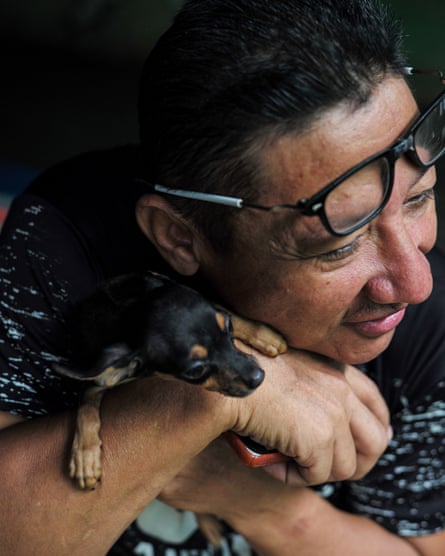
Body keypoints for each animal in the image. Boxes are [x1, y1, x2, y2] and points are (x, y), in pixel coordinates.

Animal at [53, 272, 286, 544]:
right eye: (195, 371)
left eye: (227, 328)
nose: (258, 377)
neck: (126, 314)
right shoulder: (99, 379)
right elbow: (87, 406)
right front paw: (85, 457)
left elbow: (225, 308)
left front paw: (265, 335)